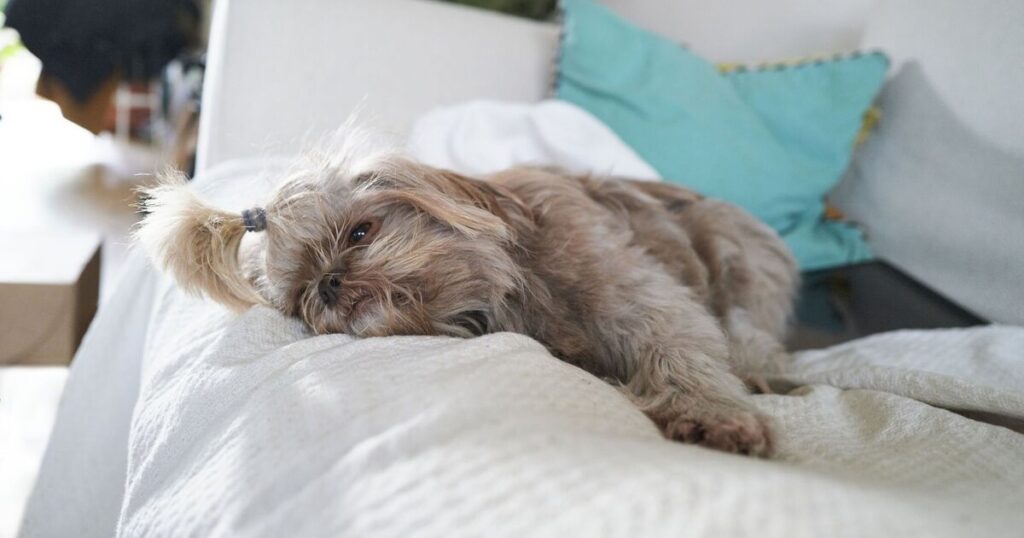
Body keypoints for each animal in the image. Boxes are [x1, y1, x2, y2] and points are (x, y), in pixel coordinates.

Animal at [137, 138, 797, 457]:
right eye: (300, 296)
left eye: (360, 232)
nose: (328, 285)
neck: (520, 281)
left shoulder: (636, 294)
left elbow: (677, 348)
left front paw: (715, 416)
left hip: (738, 259)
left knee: (749, 331)